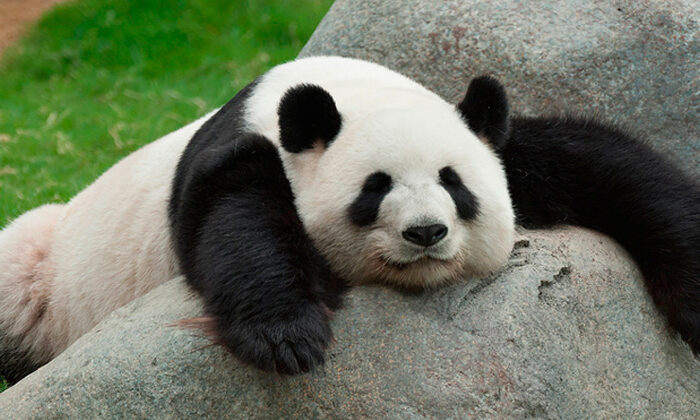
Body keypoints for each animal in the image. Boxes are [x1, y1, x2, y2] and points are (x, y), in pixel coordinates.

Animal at [0, 56, 698, 383]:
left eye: (454, 184)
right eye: (375, 188)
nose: (426, 233)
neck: (342, 90)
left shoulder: (492, 138)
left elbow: (604, 165)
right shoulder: (240, 153)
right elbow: (233, 219)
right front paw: (288, 335)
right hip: (41, 276)